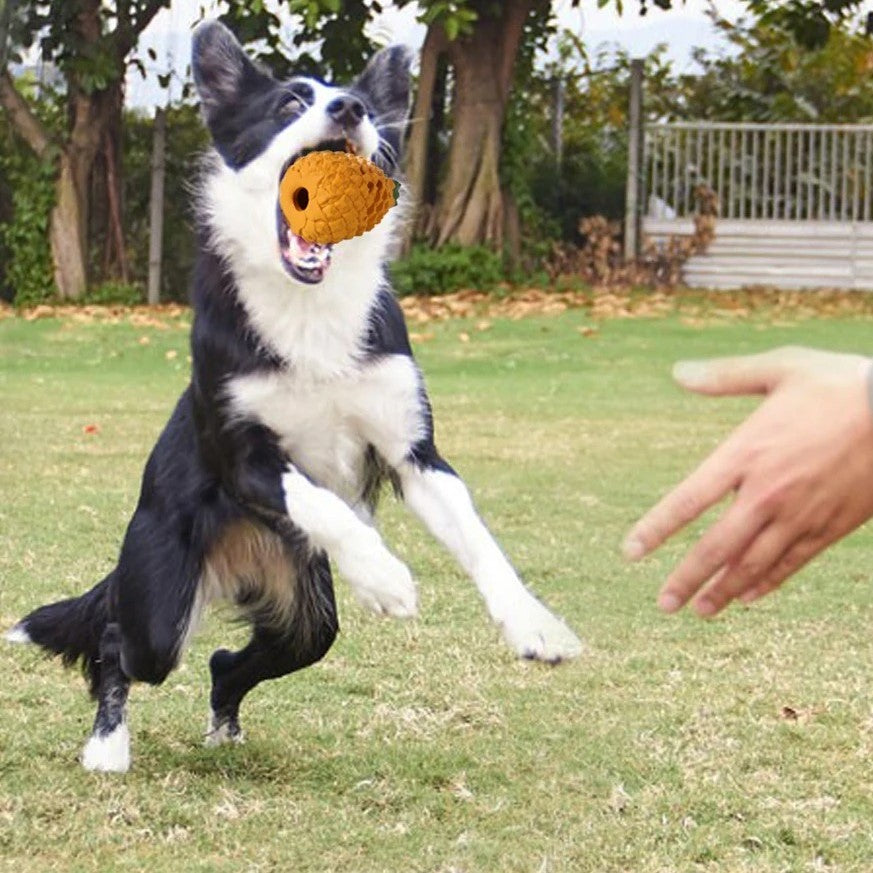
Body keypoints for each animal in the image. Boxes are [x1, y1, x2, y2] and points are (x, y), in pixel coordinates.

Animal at [8, 20, 580, 768]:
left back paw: (224, 727)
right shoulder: (244, 456)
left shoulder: (415, 454)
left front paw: (534, 624)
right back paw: (107, 746)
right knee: (118, 644)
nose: (350, 109)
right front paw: (384, 576)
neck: (311, 307)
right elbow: (319, 501)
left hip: (304, 612)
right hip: (160, 597)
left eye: (364, 107)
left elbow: (477, 537)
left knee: (228, 660)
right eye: (287, 102)